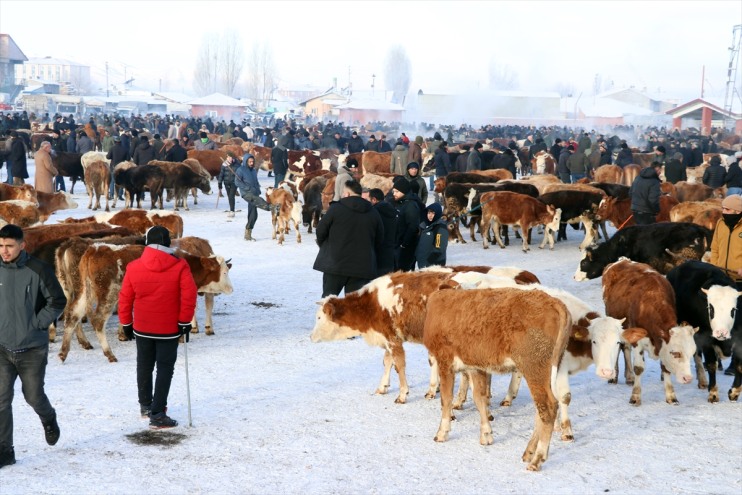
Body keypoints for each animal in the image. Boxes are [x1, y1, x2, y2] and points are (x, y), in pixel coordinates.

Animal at [422, 288, 572, 470]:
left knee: (548, 407)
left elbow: (446, 399)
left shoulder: (445, 361)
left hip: (534, 366)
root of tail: (552, 301)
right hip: (550, 367)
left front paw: (442, 433)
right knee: (543, 408)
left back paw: (537, 459)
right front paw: (486, 434)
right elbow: (479, 398)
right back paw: (529, 452)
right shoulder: (475, 366)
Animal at [600, 260, 700, 406]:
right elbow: (639, 368)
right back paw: (614, 377)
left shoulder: (662, 345)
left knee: (626, 348)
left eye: (692, 353)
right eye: (676, 353)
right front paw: (635, 397)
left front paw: (671, 396)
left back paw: (629, 377)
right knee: (618, 346)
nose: (688, 378)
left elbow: (665, 367)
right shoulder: (638, 340)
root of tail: (621, 260)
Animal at [668, 260, 742, 404]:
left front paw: (734, 392)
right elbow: (711, 364)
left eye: (733, 309)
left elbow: (739, 365)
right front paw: (713, 393)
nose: (721, 332)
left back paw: (702, 380)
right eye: (711, 308)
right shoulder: (706, 337)